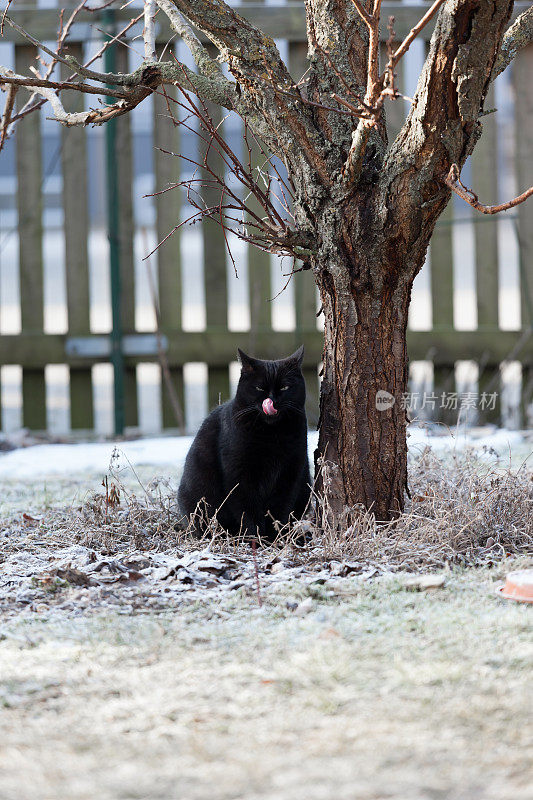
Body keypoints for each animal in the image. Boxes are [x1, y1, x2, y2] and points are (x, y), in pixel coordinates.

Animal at [179, 346, 312, 540]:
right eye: (259, 388)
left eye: (285, 387)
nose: (272, 401)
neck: (271, 434)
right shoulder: (240, 475)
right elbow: (247, 511)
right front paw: (255, 539)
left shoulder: (290, 472)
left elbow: (280, 509)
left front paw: (275, 538)